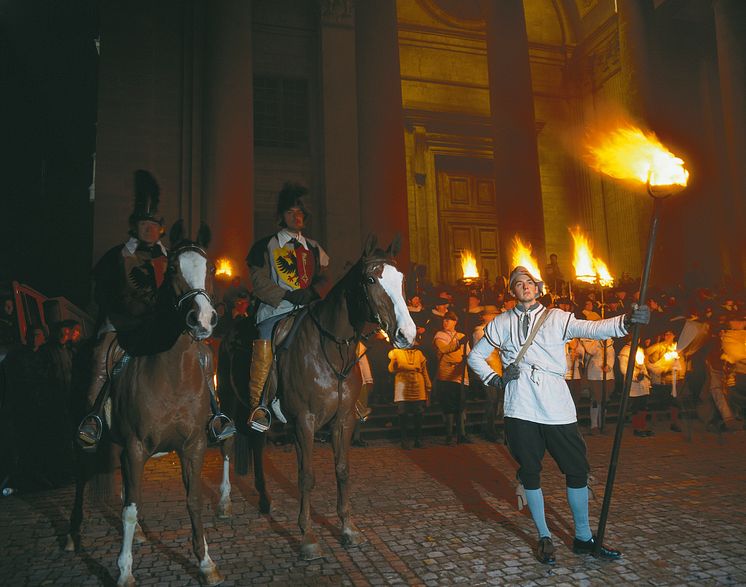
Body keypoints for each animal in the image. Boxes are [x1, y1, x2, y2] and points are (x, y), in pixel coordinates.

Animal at [66, 222, 224, 587]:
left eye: (210, 268)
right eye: (173, 270)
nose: (201, 319)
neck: (173, 373)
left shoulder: (193, 445)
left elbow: (193, 501)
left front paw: (205, 562)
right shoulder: (136, 447)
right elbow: (129, 508)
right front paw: (124, 570)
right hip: (89, 439)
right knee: (83, 477)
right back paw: (73, 534)